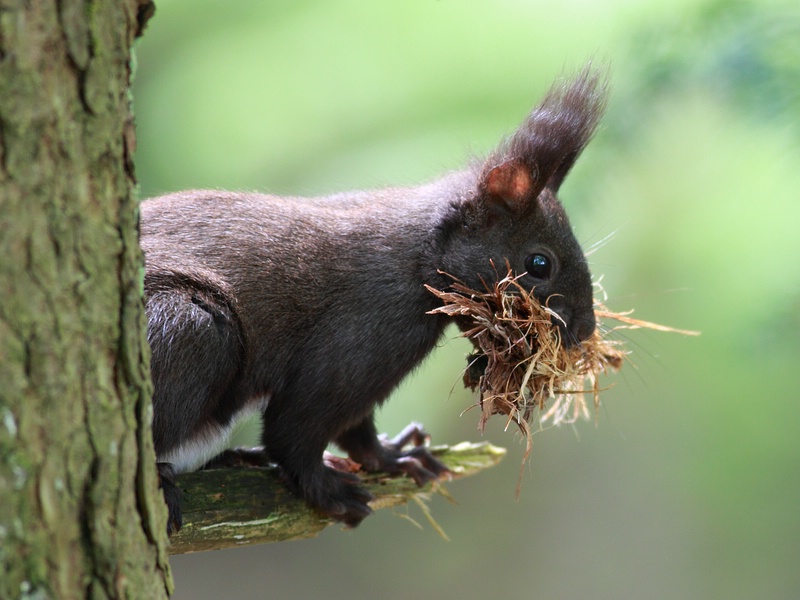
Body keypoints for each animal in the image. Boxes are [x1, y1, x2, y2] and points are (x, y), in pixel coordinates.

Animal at [142, 67, 608, 536]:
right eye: (539, 263)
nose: (585, 329)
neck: (417, 257)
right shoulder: (358, 340)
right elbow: (294, 432)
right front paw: (327, 489)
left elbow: (358, 432)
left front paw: (395, 457)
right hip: (187, 328)